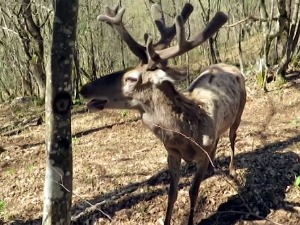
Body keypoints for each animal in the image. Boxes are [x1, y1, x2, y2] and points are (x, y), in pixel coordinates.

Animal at [79, 3, 246, 225]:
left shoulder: (200, 156)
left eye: (131, 78)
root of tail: (232, 67)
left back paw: (232, 170)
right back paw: (213, 168)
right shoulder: (171, 154)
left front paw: (190, 220)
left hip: (240, 110)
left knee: (232, 137)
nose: (84, 89)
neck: (186, 135)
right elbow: (172, 193)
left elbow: (193, 191)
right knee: (219, 138)